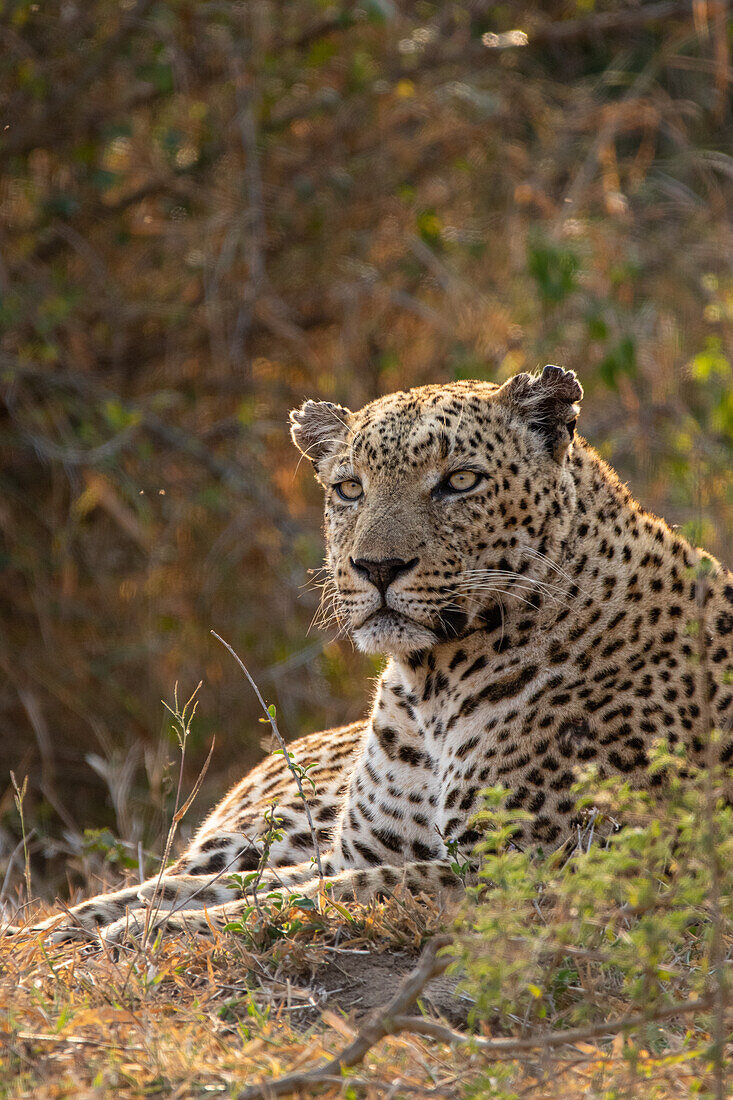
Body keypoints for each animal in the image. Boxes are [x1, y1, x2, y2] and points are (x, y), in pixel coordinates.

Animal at [17, 363, 730, 946]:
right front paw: (64, 931)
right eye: (350, 489)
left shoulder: (518, 871)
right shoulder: (356, 852)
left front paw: (140, 934)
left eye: (460, 481)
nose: (377, 567)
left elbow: (313, 899)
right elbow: (211, 889)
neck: (432, 685)